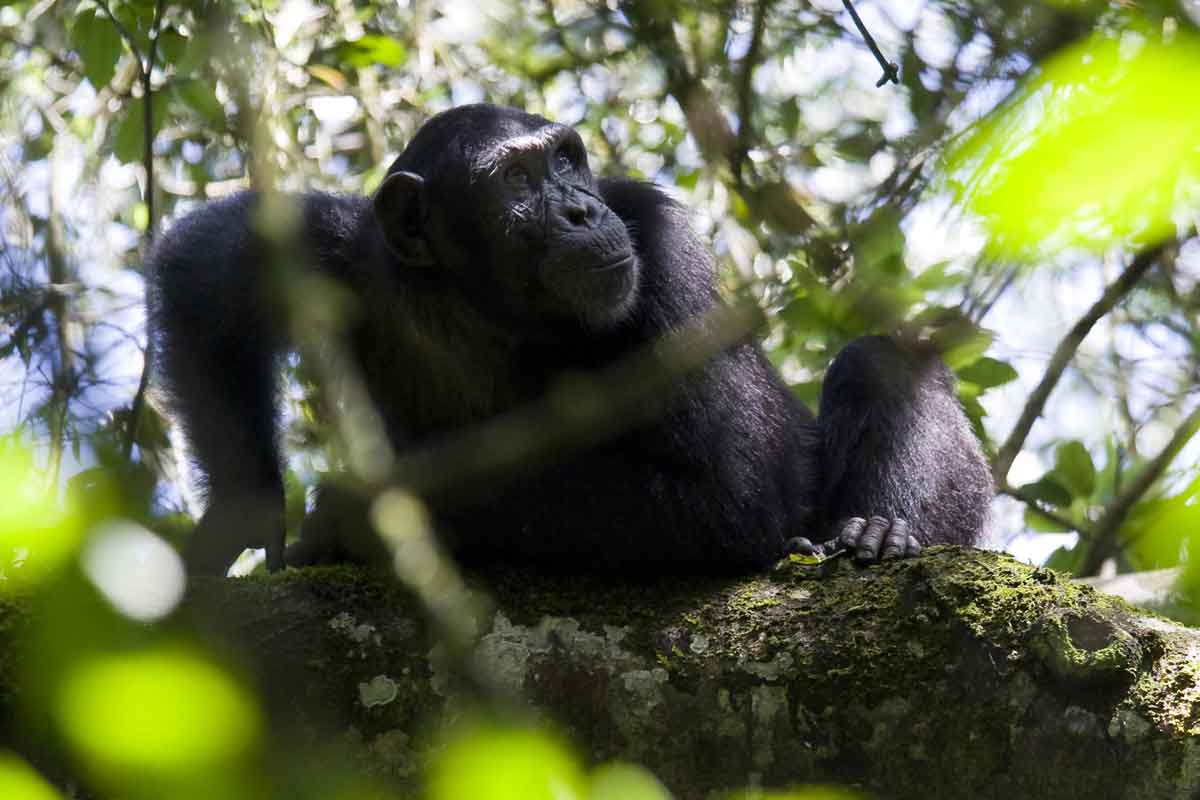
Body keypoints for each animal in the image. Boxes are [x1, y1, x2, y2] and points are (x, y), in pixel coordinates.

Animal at [147, 104, 993, 575]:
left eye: (565, 159)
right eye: (516, 180)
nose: (583, 210)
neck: (485, 308)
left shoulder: (665, 255)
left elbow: (730, 491)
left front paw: (356, 514)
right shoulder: (341, 250)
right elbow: (205, 274)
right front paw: (240, 517)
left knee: (880, 365)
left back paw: (876, 532)